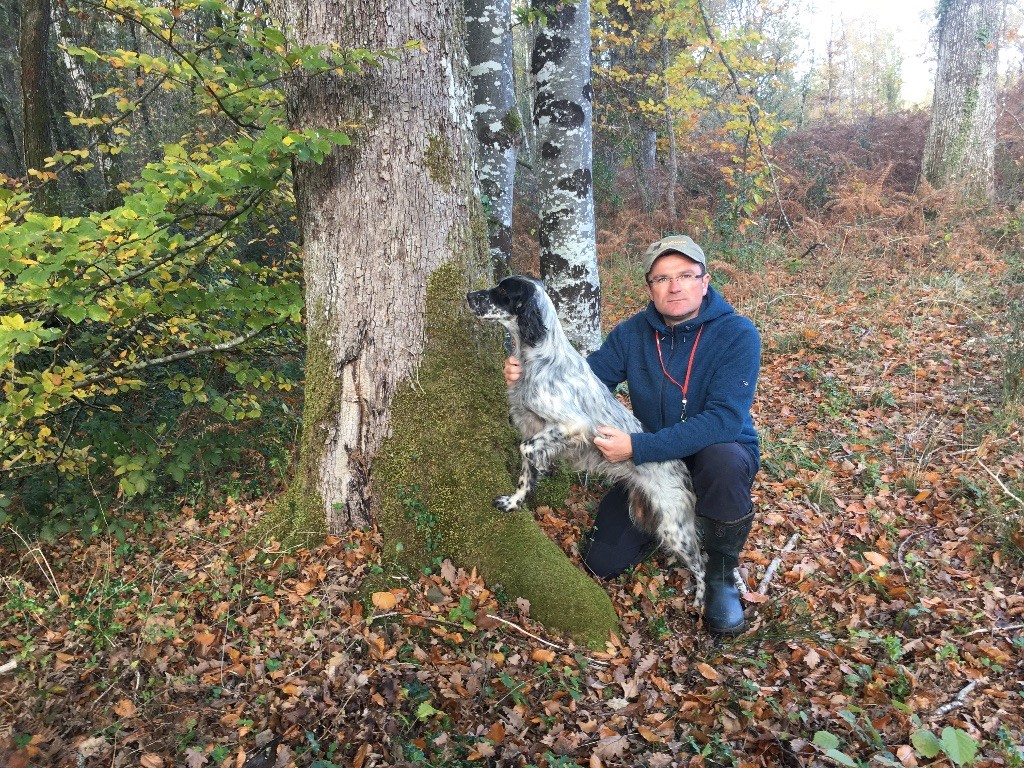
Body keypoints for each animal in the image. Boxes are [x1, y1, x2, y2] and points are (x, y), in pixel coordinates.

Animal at [468, 278, 708, 614]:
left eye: (503, 291)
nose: (468, 296)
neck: (538, 357)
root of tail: (681, 468)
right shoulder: (531, 424)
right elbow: (525, 470)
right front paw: (516, 501)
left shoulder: (572, 425)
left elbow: (528, 450)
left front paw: (538, 471)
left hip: (675, 526)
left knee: (703, 562)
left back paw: (700, 599)